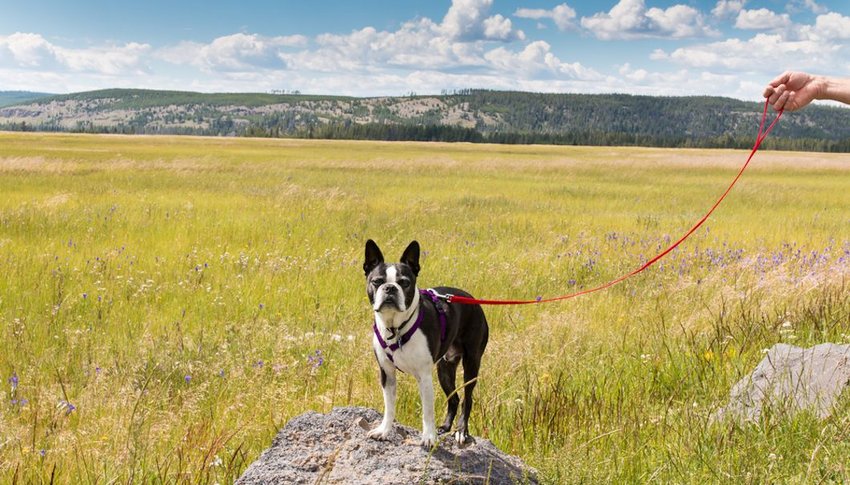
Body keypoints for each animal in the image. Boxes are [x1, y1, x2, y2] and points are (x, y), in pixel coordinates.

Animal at [364, 238, 490, 446]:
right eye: (377, 281)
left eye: (405, 283)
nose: (390, 288)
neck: (395, 328)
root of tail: (473, 300)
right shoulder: (387, 373)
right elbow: (389, 406)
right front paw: (384, 430)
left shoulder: (424, 375)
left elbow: (427, 411)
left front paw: (429, 437)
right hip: (445, 368)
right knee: (454, 398)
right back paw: (445, 427)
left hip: (472, 363)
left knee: (467, 398)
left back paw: (461, 430)